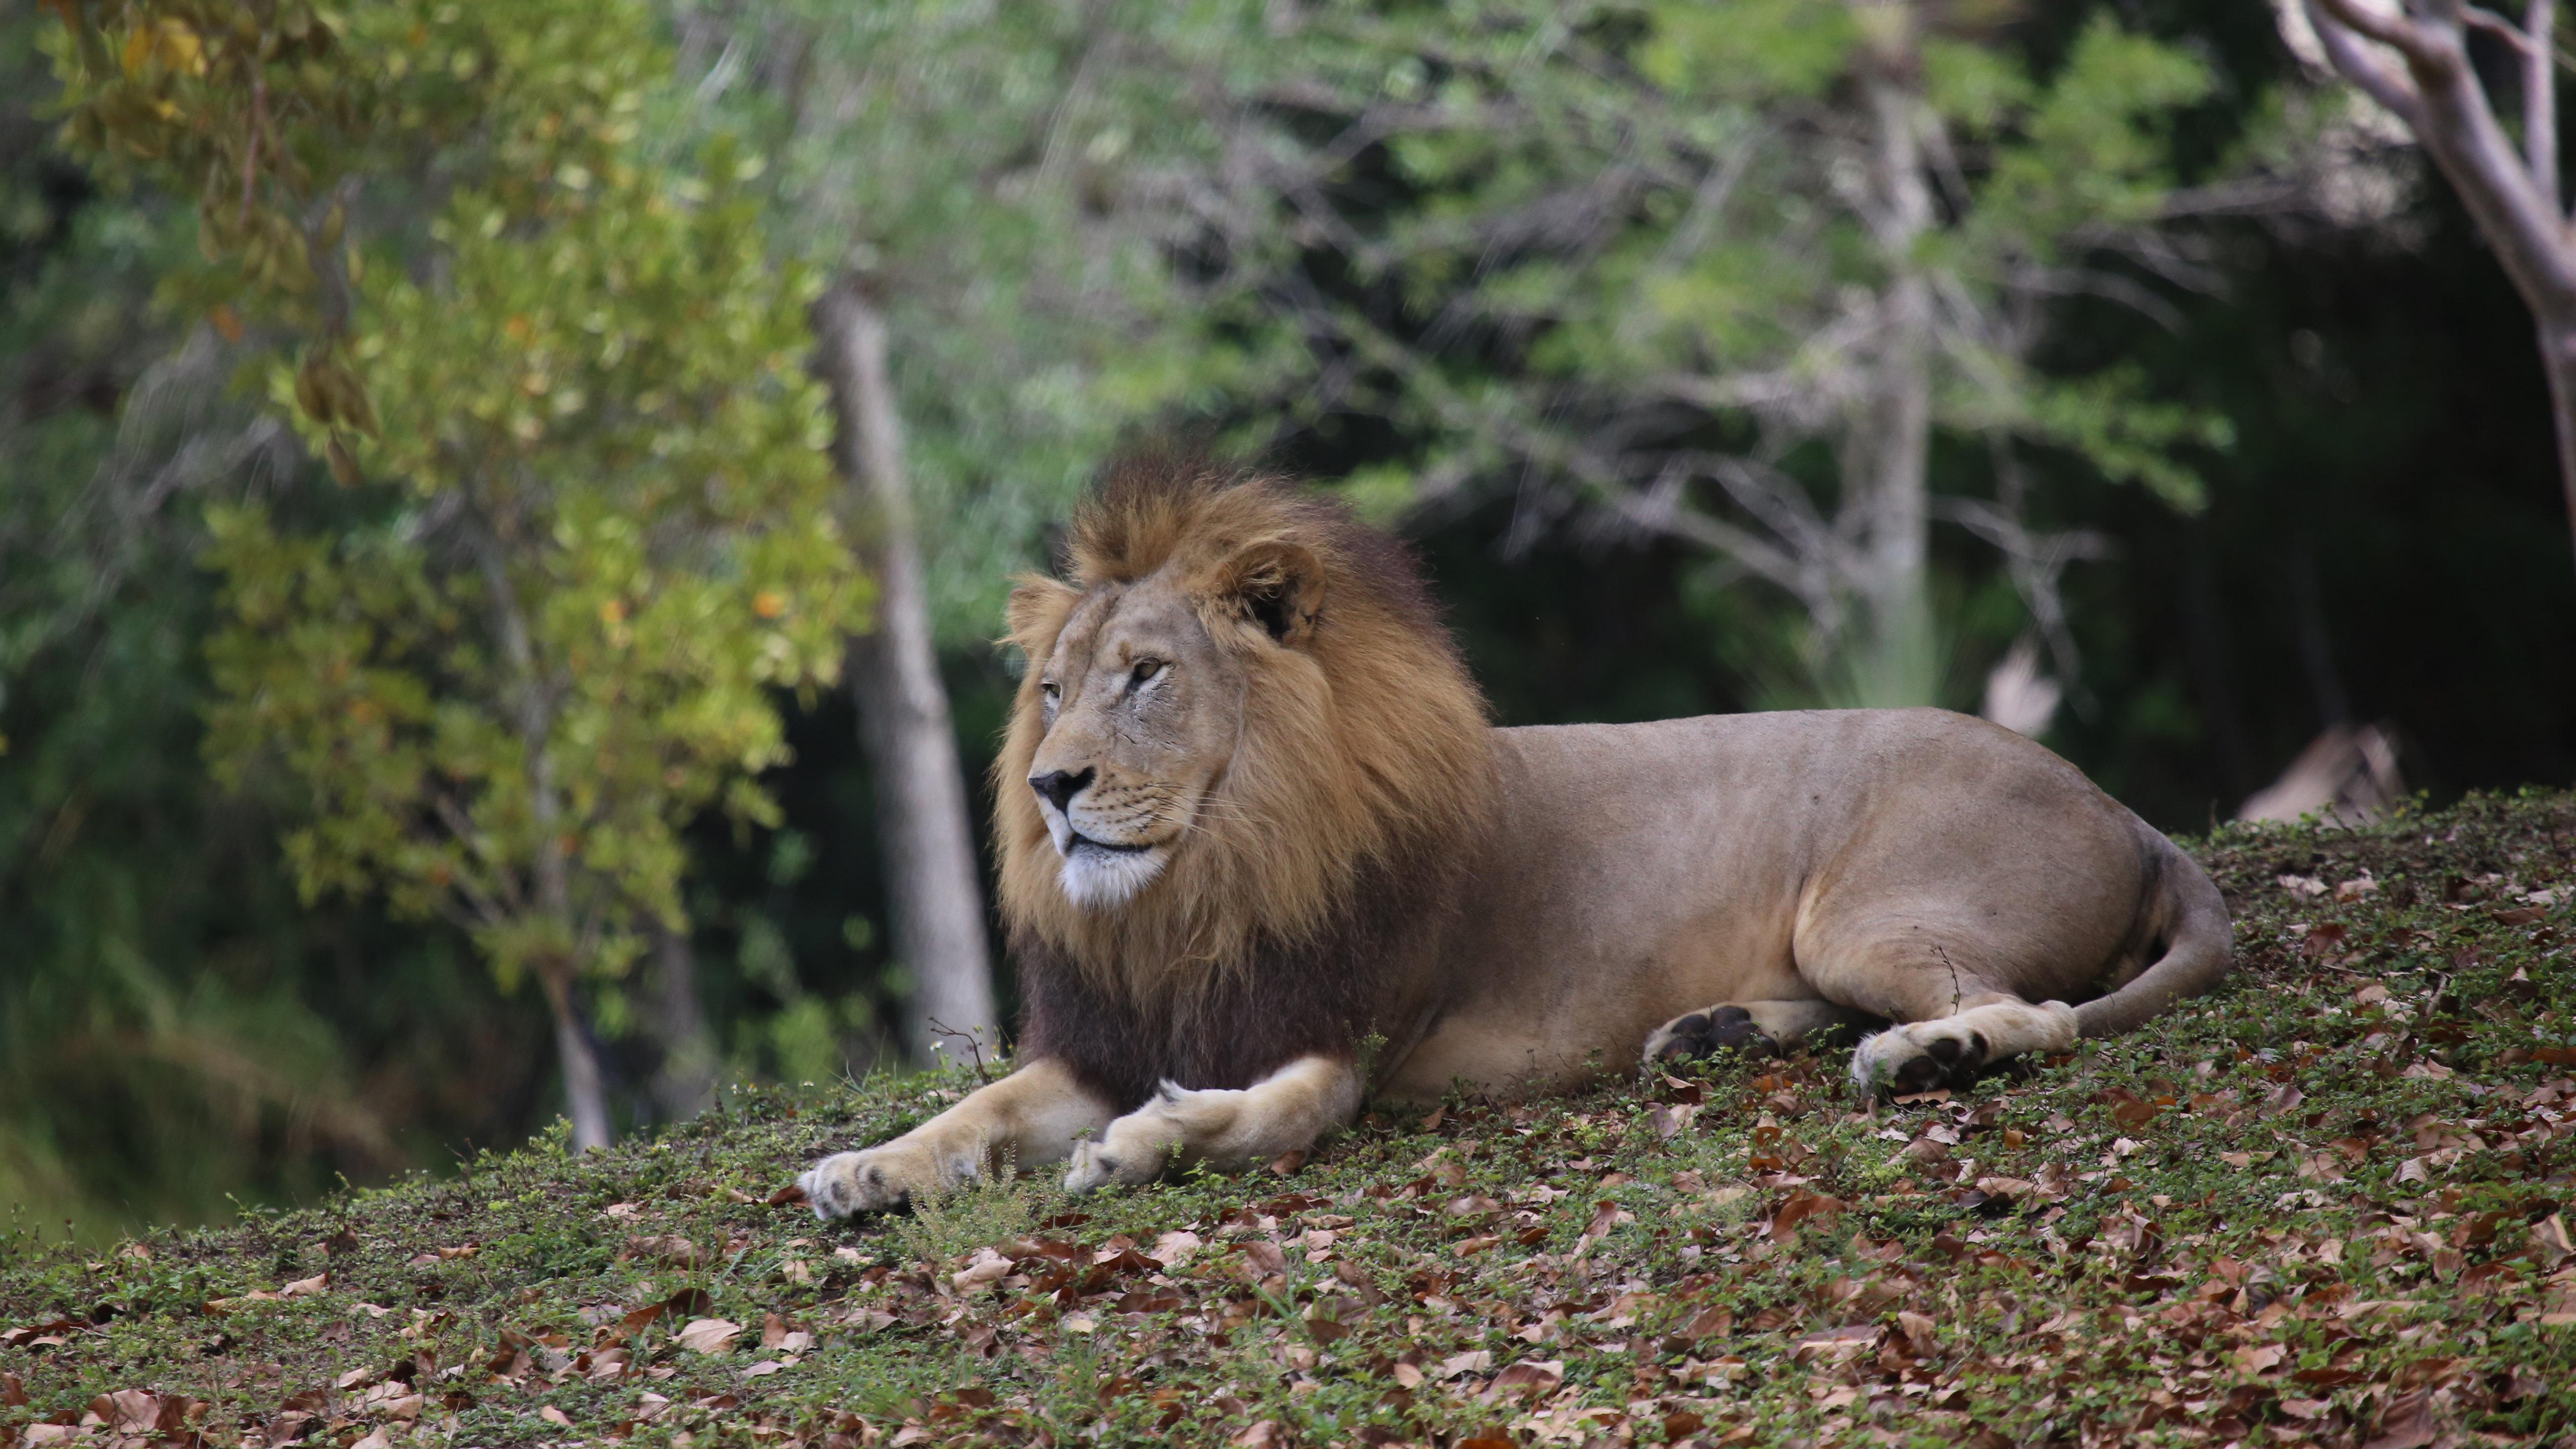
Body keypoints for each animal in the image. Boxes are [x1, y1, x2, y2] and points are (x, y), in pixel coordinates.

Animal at [793, 456, 2225, 1212]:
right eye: (1050, 690)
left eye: (1144, 676)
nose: (1051, 785)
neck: (1200, 889)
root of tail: (2124, 810)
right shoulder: (1111, 1035)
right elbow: (974, 1107)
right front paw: (864, 1167)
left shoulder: (1346, 1040)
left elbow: (1255, 1117)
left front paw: (1142, 1143)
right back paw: (1718, 1031)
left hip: (1868, 914)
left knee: (2032, 1015)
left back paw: (1926, 1054)